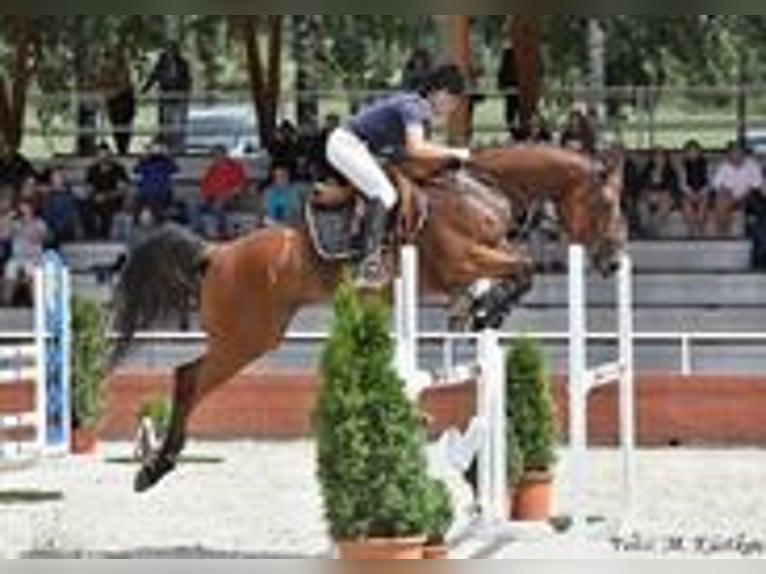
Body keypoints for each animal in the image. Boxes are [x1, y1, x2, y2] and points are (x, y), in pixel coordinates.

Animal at [110, 144, 626, 493]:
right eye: (607, 204)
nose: (614, 262)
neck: (483, 190)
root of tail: (215, 252)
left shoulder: (472, 263)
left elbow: (507, 275)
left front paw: (477, 310)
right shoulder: (462, 260)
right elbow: (524, 267)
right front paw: (488, 308)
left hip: (252, 335)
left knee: (189, 376)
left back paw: (158, 464)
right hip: (247, 337)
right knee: (188, 377)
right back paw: (154, 467)